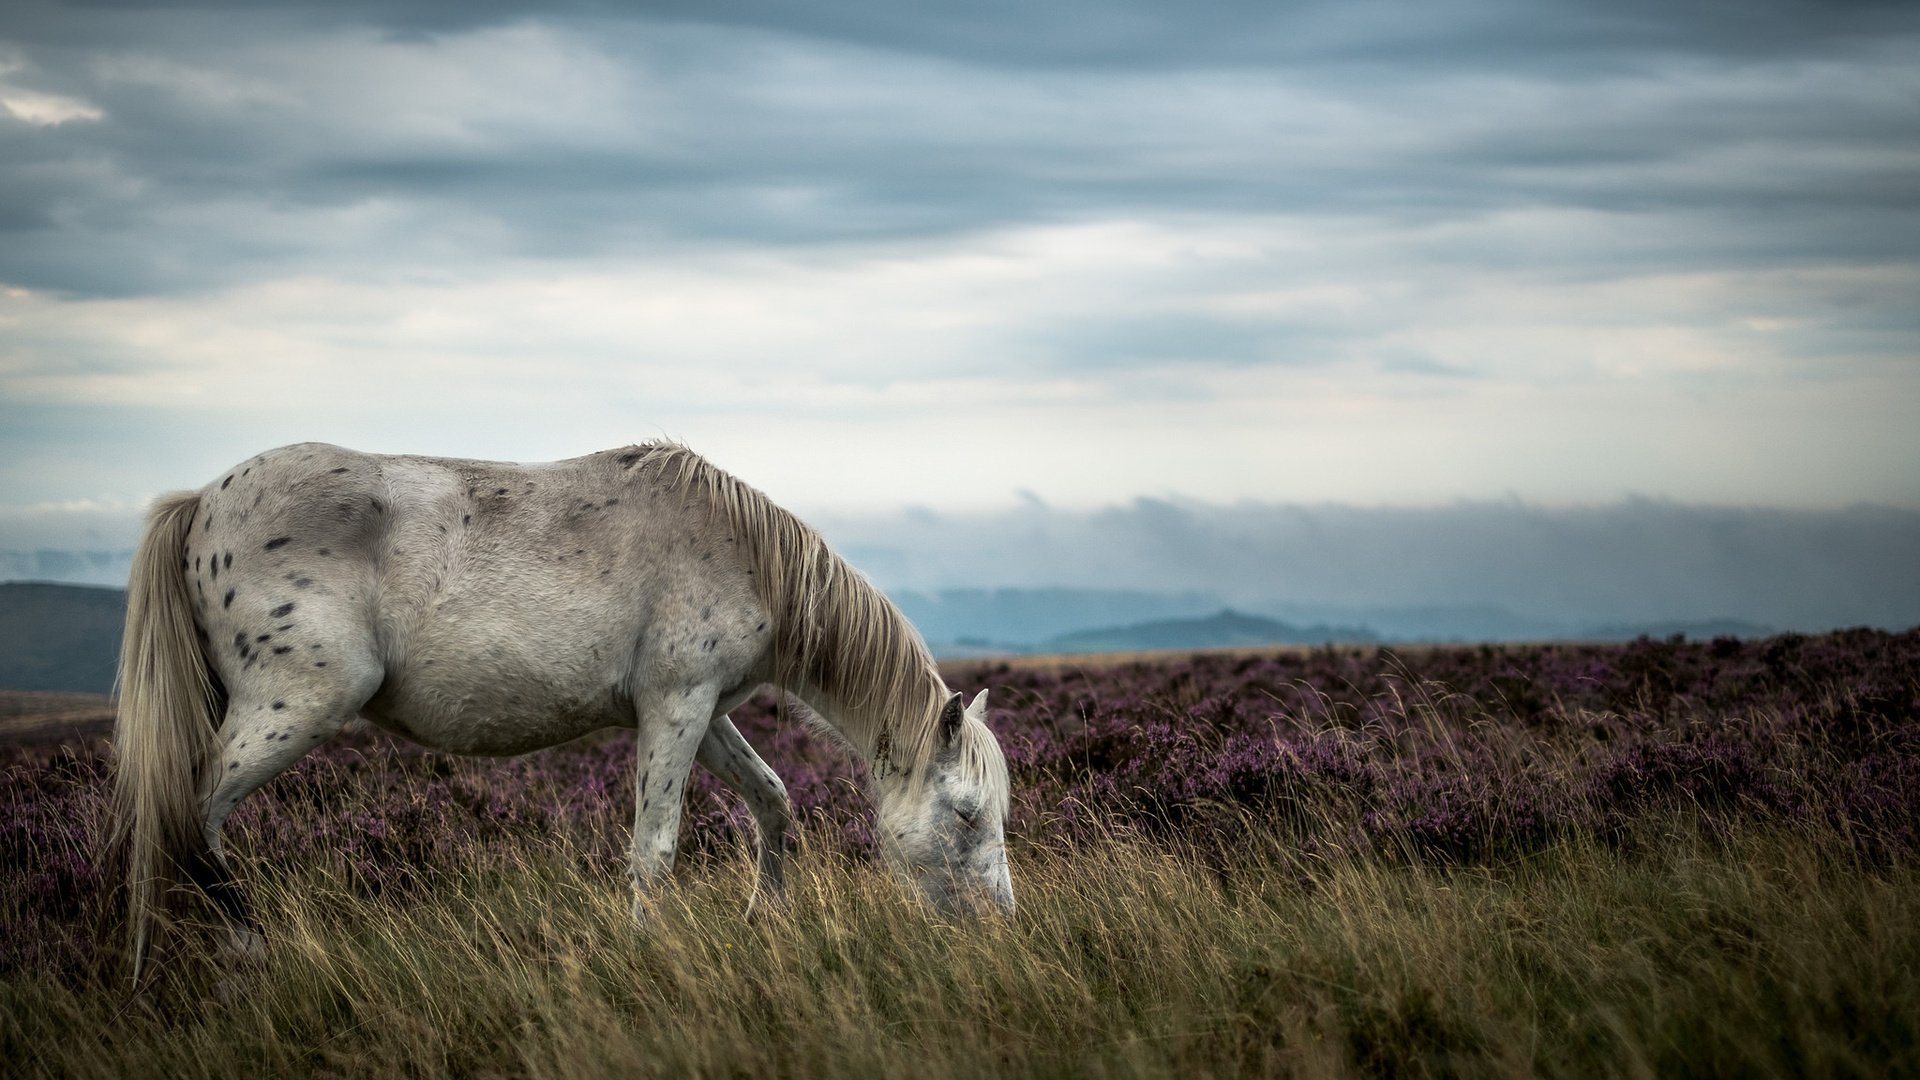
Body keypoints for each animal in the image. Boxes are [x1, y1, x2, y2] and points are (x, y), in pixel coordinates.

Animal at [116, 438, 1021, 976]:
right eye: (968, 815)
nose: (1002, 927)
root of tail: (201, 503)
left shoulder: (703, 712)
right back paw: (249, 959)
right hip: (292, 708)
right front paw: (647, 949)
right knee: (191, 818)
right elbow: (654, 849)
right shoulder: (676, 707)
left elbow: (773, 800)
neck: (744, 553)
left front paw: (765, 917)